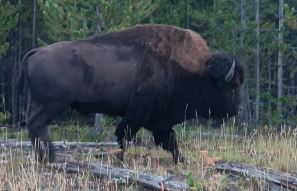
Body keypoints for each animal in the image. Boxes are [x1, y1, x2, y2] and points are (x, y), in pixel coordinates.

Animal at [18, 24, 244, 164]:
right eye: (232, 86)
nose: (238, 108)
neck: (195, 71)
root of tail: (36, 51)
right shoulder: (138, 113)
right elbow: (125, 135)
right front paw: (121, 158)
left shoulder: (159, 121)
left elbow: (170, 142)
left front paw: (181, 160)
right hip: (53, 104)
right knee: (37, 126)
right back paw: (48, 157)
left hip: (45, 104)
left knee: (36, 127)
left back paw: (46, 157)